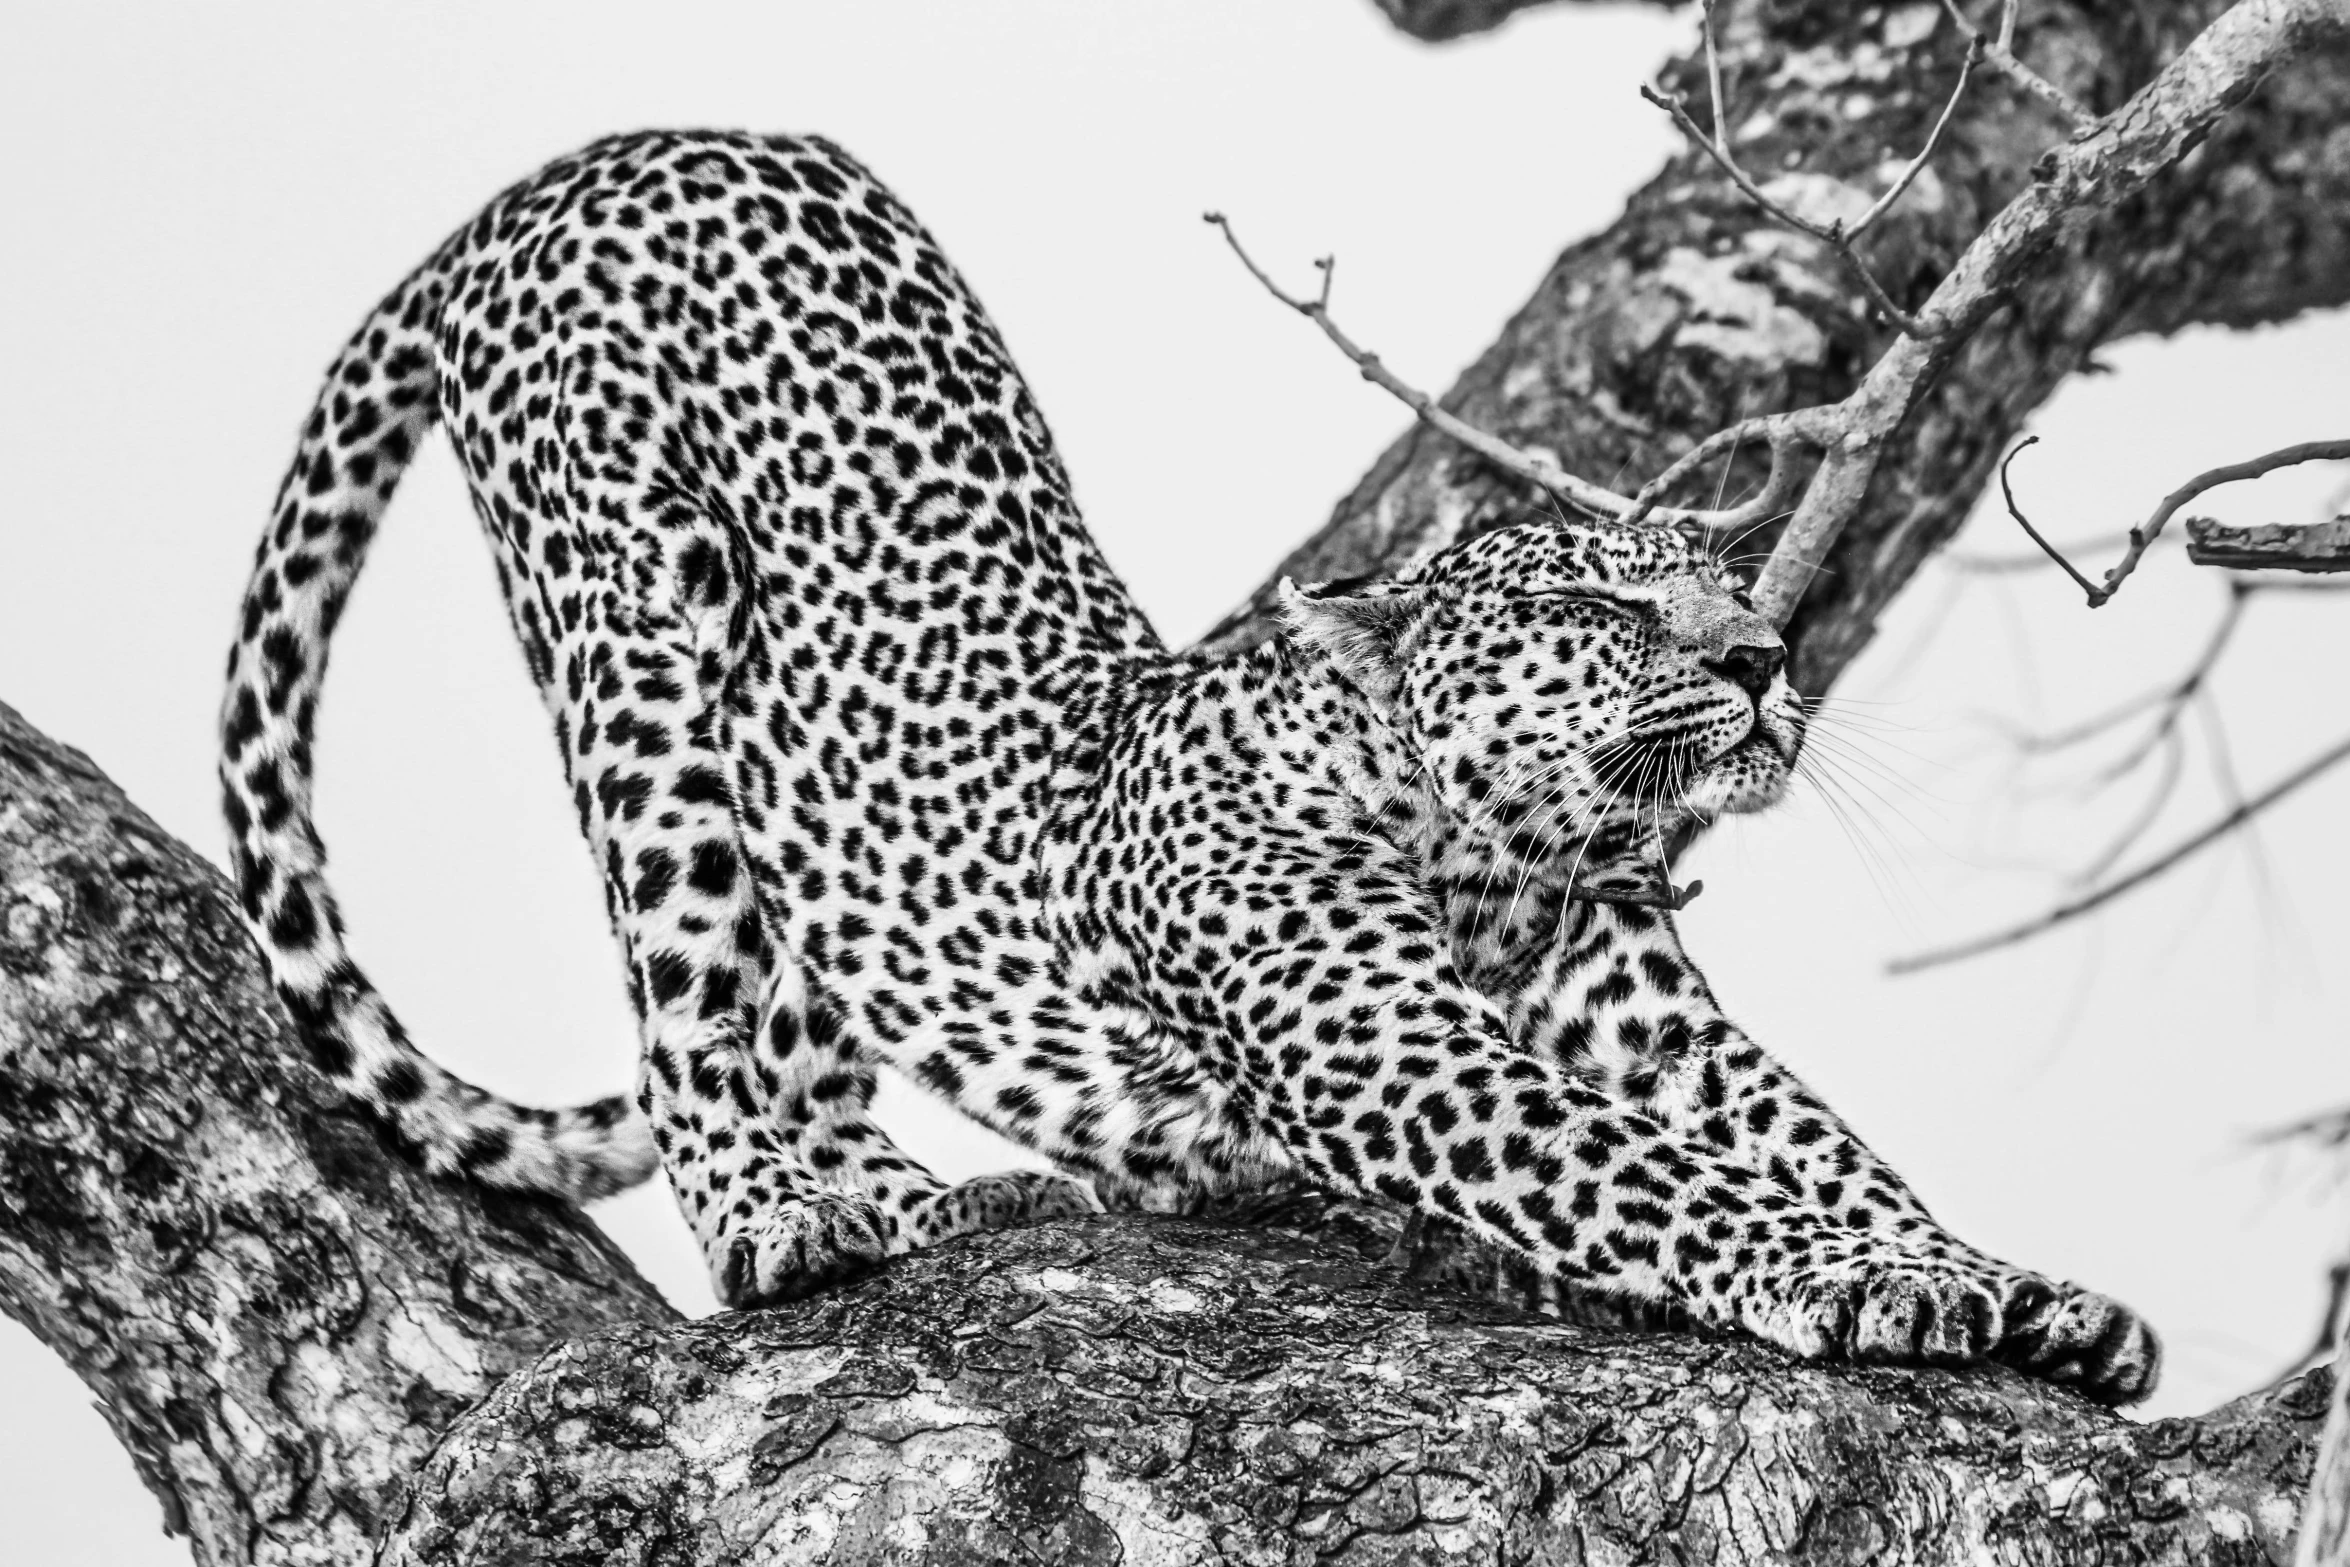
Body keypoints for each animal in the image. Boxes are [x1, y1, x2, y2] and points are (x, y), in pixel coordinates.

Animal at [224, 128, 2162, 1400]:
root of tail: (598, 155)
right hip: (635, 642)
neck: (1497, 856)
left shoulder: (1645, 1010)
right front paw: (1860, 1279)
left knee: (803, 982)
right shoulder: (1402, 1050)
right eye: (1597, 601)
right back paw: (784, 1212)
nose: (1761, 658)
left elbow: (1816, 1139)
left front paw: (2006, 1282)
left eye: (1724, 577)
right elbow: (1668, 1182)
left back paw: (907, 1184)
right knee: (687, 980)